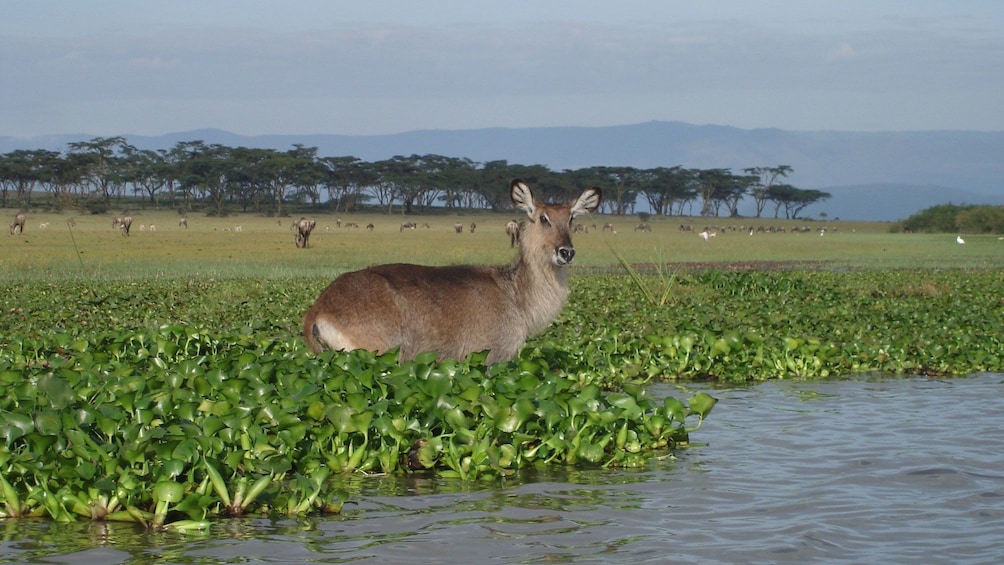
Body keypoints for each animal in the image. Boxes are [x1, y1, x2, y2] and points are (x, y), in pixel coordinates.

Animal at [301, 181, 598, 367]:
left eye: (571, 218)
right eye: (543, 218)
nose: (566, 252)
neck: (514, 295)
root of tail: (320, 306)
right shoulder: (493, 359)